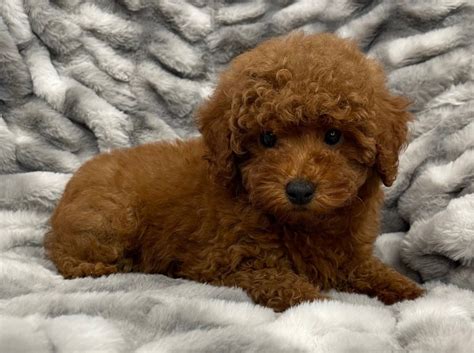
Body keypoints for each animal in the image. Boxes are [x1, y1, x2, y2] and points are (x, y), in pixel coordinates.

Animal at [44, 31, 424, 310]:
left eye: (333, 136)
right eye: (267, 138)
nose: (299, 190)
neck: (301, 223)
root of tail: (71, 186)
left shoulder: (351, 256)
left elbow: (375, 272)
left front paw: (412, 293)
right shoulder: (237, 262)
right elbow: (290, 288)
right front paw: (323, 304)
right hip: (111, 218)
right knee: (64, 254)